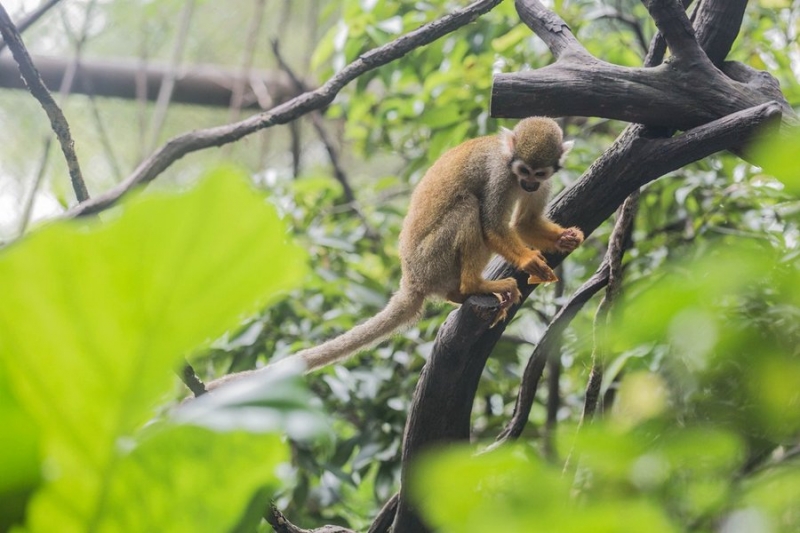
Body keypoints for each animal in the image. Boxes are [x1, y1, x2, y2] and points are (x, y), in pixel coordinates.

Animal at [206, 117, 580, 386]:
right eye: (522, 171)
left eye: (538, 173)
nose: (528, 184)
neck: (513, 171)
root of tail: (411, 279)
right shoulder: (499, 175)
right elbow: (492, 226)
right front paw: (530, 260)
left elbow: (525, 223)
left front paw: (567, 238)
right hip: (433, 259)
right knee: (468, 207)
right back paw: (474, 285)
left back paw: (460, 293)